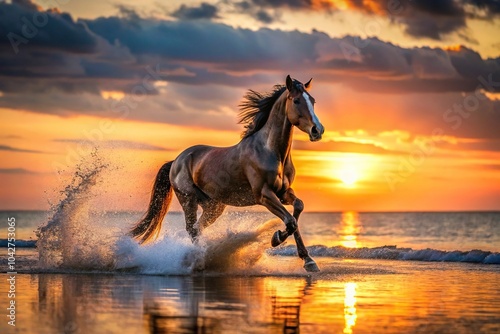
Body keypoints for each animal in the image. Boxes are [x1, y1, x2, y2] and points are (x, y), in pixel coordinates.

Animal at [129, 75, 324, 272]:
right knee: (192, 228)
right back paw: (199, 262)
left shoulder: (283, 193)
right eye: (297, 100)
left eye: (313, 100)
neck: (270, 151)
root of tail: (176, 161)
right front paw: (276, 238)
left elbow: (298, 208)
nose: (317, 130)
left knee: (198, 228)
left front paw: (309, 261)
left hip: (213, 206)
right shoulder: (264, 195)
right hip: (188, 199)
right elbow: (290, 221)